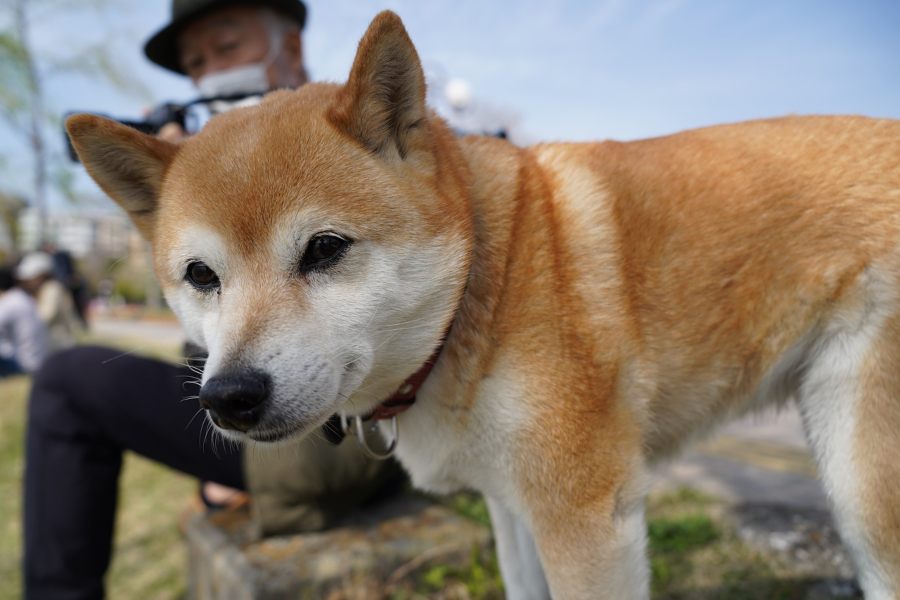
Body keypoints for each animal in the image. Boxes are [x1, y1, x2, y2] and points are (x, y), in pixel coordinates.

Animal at [65, 9, 900, 600]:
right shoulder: (513, 503)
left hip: (861, 484)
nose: (230, 396)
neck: (484, 293)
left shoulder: (586, 516)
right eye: (201, 275)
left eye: (325, 249)